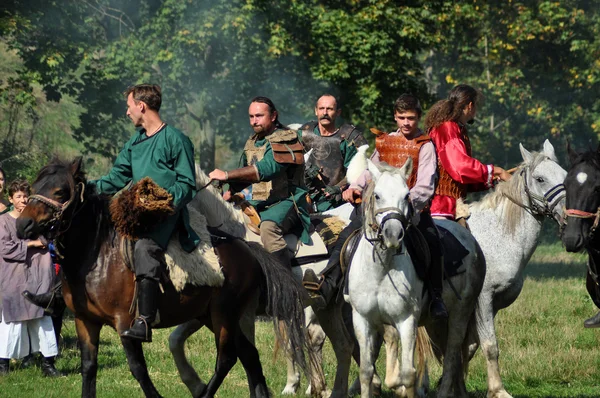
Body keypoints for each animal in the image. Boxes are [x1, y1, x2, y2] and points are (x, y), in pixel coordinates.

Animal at [16, 159, 308, 398]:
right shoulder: (85, 321)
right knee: (249, 356)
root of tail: (247, 248)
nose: (22, 225)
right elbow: (89, 368)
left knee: (226, 359)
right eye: (35, 187)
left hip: (224, 315)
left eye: (60, 192)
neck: (97, 253)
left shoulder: (125, 324)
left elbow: (138, 369)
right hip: (217, 317)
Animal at [346, 159, 488, 398]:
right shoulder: (362, 319)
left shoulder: (406, 321)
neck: (381, 270)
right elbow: (366, 371)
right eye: (377, 195)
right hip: (435, 323)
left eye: (406, 196)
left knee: (452, 356)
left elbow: (408, 374)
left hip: (459, 315)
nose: (393, 235)